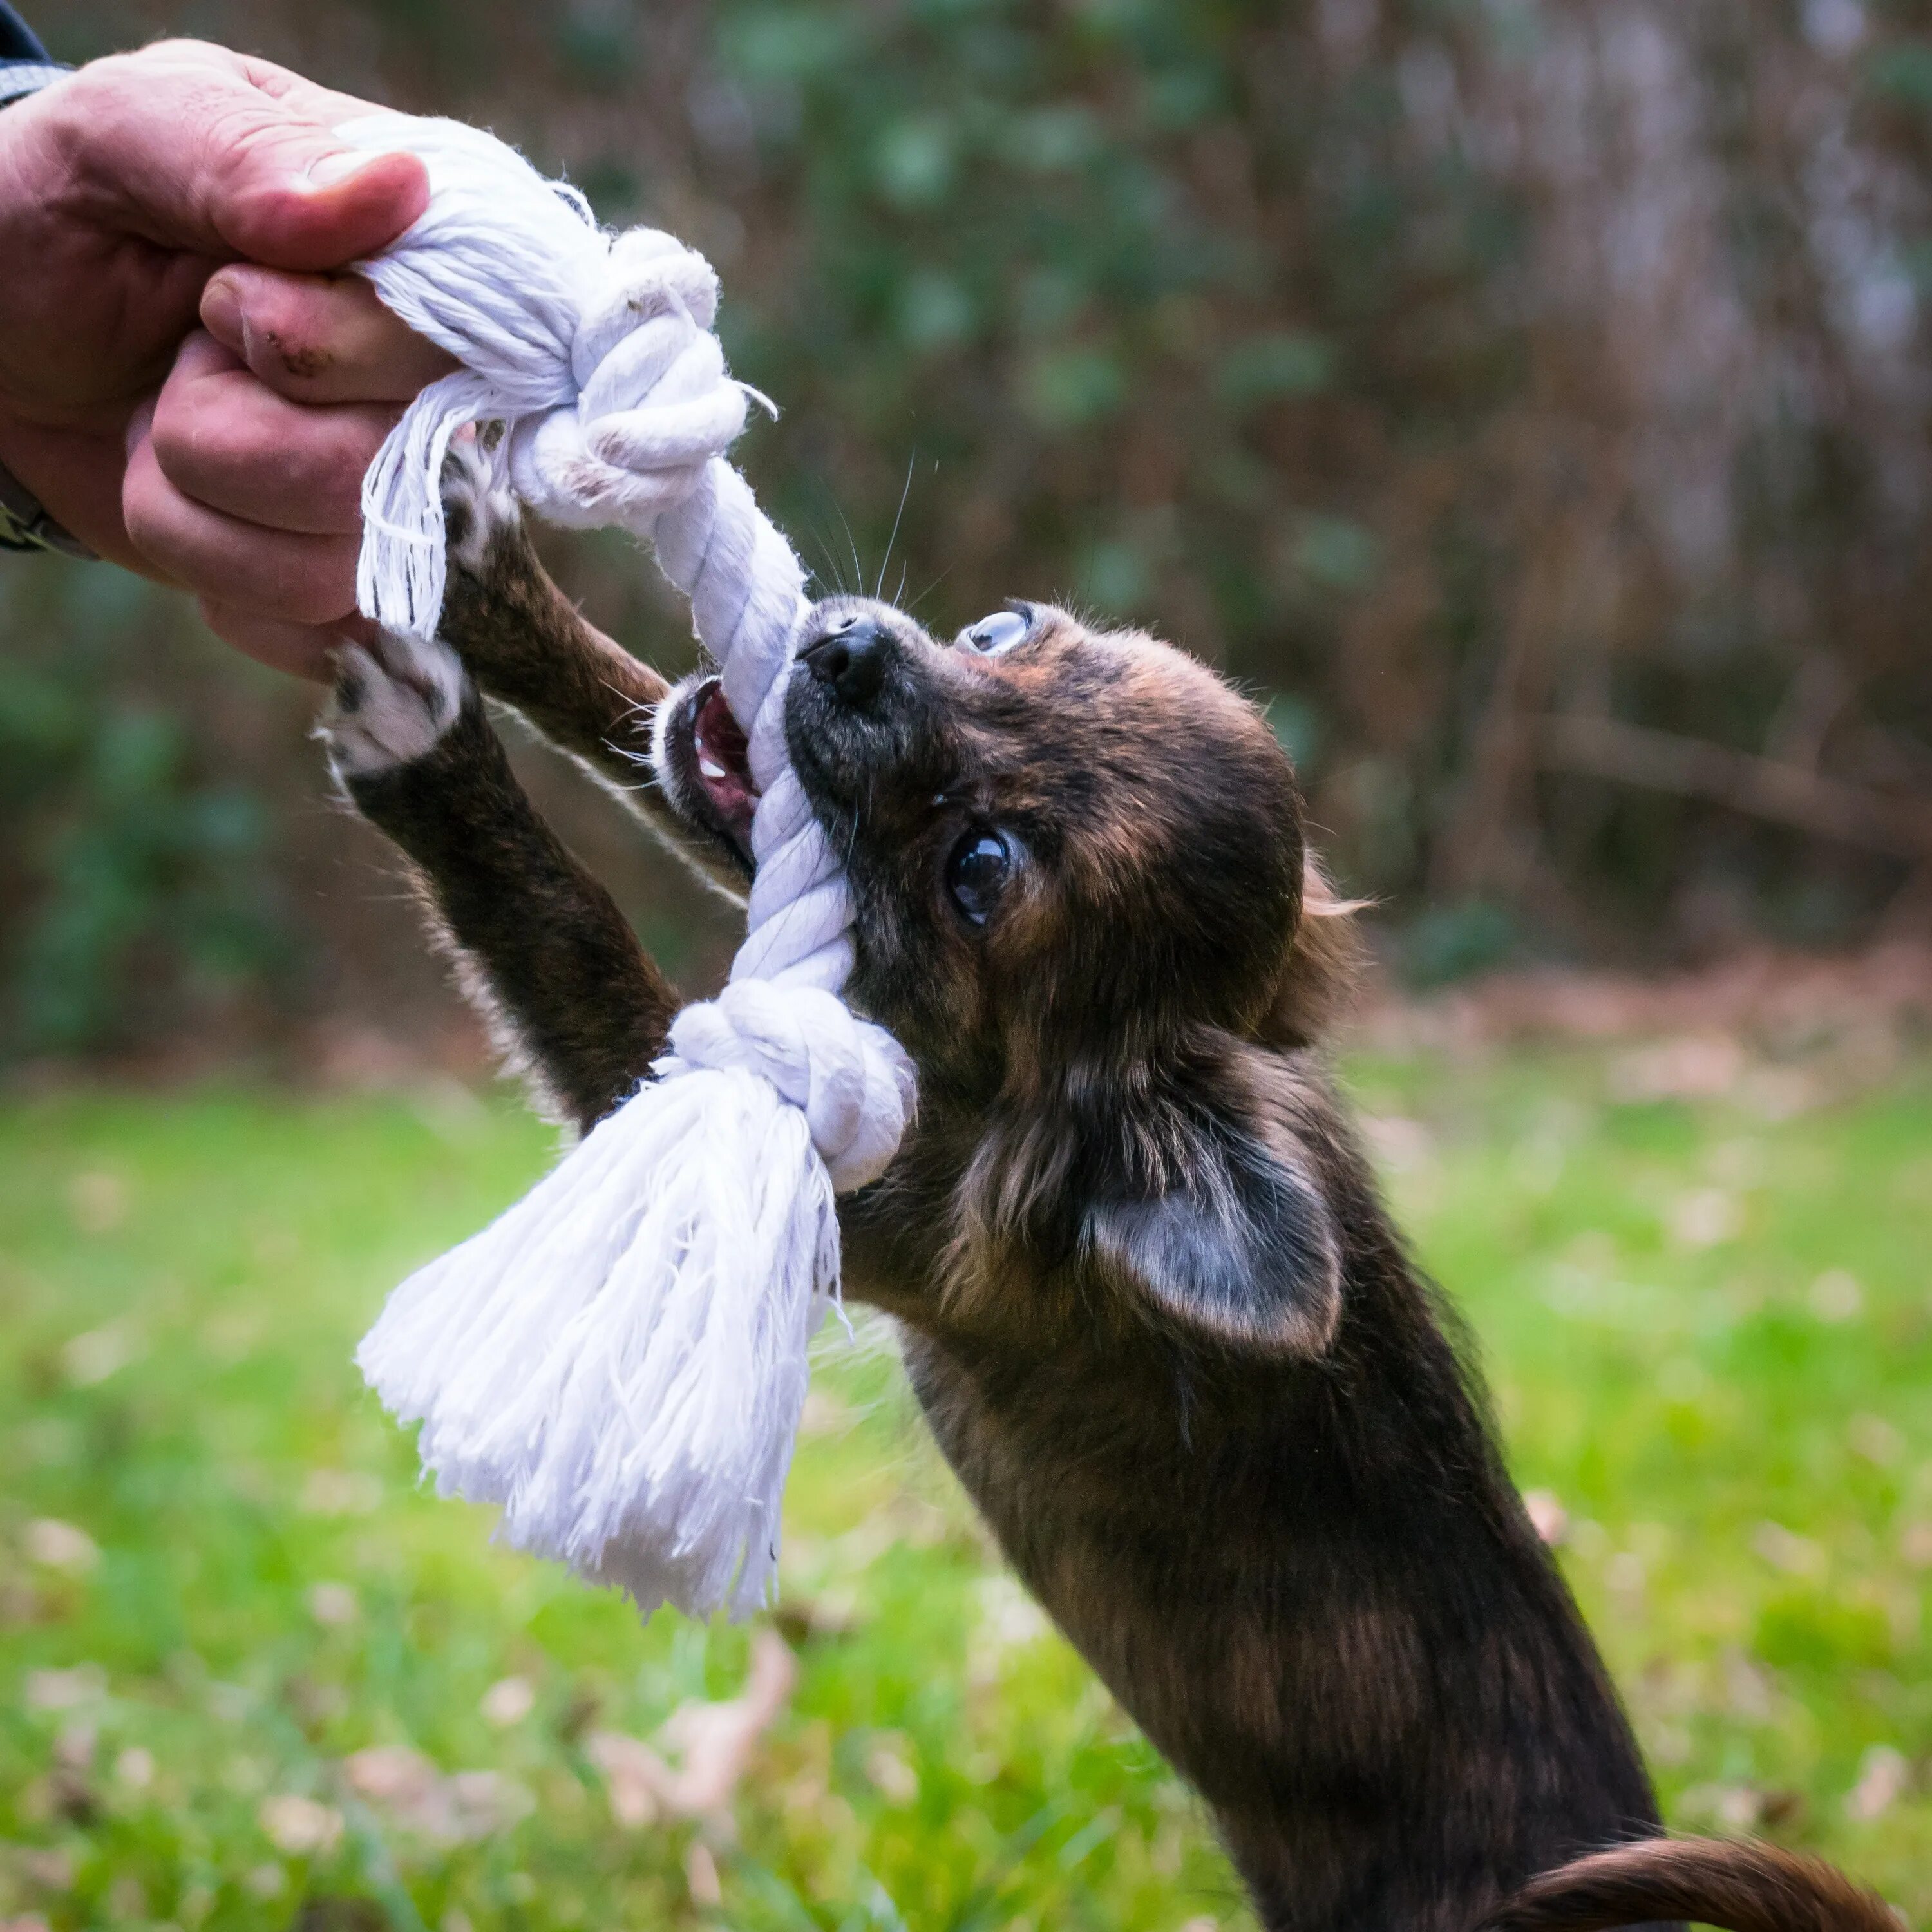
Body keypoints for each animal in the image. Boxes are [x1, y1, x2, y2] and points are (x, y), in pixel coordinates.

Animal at [325, 479, 1893, 1932]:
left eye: (981, 869)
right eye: (997, 635)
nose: (842, 647)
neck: (1016, 1100)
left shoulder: (857, 1184)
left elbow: (564, 930)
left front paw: (432, 752)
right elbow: (647, 724)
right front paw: (491, 586)